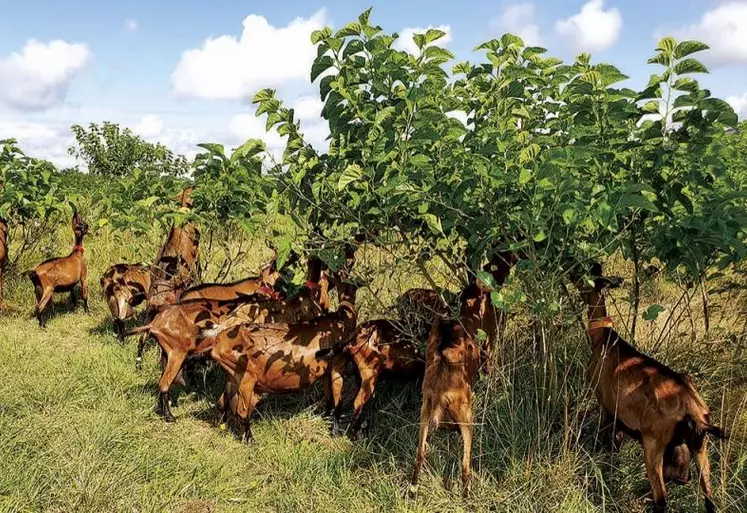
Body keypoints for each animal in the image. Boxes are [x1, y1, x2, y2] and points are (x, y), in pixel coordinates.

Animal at [572, 262, 724, 510]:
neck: (604, 339)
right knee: (705, 495)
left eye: (585, 278)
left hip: (654, 445)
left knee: (662, 498)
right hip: (698, 447)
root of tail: (693, 410)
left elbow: (607, 445)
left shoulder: (606, 406)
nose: (571, 272)